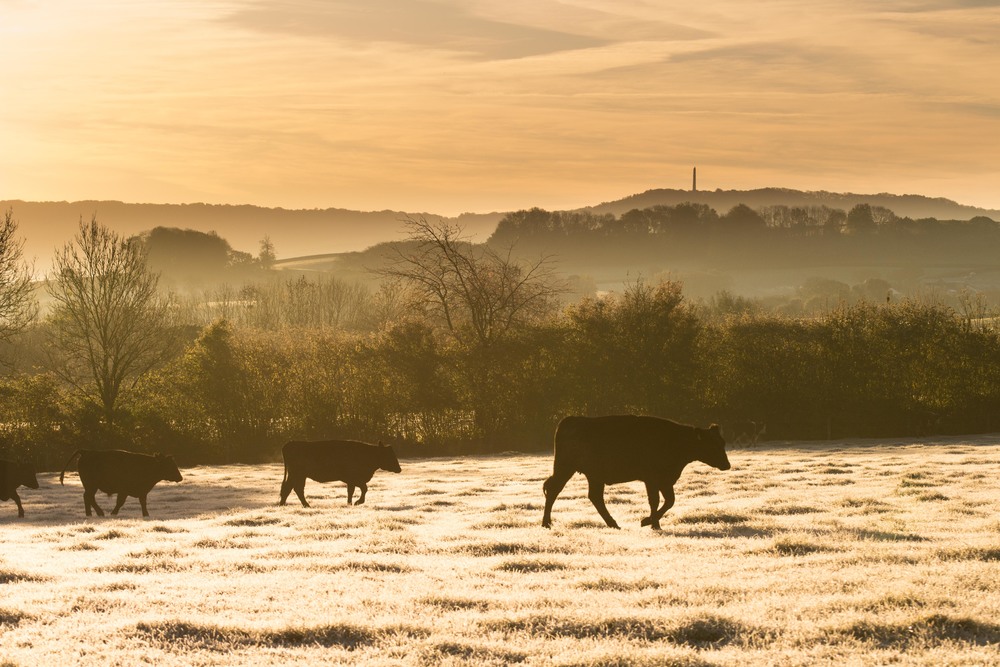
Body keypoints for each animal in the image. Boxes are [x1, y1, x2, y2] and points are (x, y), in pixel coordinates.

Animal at [541, 415, 730, 530]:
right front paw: (651, 523)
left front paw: (651, 522)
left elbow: (669, 501)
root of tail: (570, 420)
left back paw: (613, 524)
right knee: (554, 490)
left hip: (593, 476)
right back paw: (546, 523)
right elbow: (655, 501)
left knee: (595, 497)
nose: (727, 465)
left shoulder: (665, 481)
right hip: (565, 468)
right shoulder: (652, 479)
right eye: (712, 444)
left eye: (722, 442)